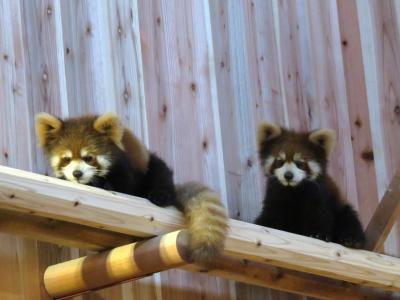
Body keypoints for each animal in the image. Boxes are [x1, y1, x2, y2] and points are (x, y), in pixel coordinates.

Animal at [34, 112, 228, 262]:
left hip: (153, 168)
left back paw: (161, 195)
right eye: (66, 159)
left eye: (88, 158)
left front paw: (100, 183)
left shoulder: (127, 170)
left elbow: (124, 186)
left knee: (160, 171)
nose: (77, 173)